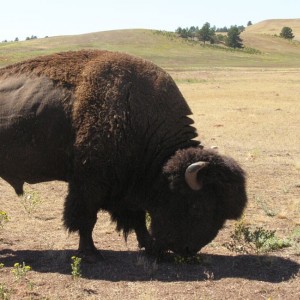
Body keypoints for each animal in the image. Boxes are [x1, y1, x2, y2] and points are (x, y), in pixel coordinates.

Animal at [0, 50, 247, 262]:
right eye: (198, 207)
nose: (188, 250)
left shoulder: (127, 188)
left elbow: (137, 219)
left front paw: (150, 248)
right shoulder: (89, 185)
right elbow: (86, 219)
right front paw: (91, 254)